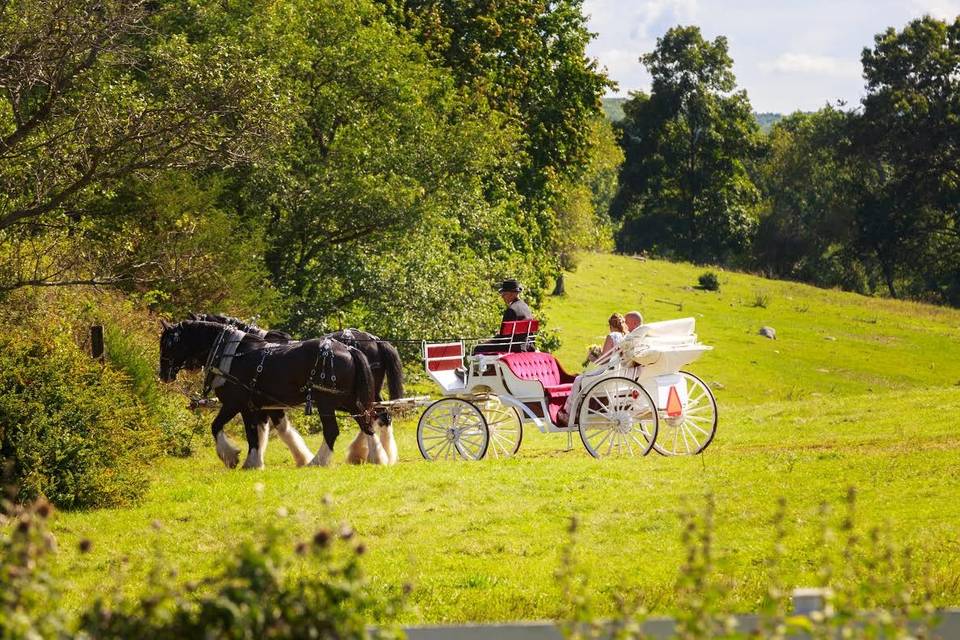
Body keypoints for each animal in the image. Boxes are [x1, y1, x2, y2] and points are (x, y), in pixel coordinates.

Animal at [158, 320, 386, 470]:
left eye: (168, 344)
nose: (163, 375)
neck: (232, 354)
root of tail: (349, 349)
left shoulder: (236, 404)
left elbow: (224, 428)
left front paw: (237, 459)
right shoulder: (260, 407)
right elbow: (262, 434)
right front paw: (255, 460)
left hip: (326, 402)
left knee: (333, 431)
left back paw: (317, 462)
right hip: (349, 401)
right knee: (368, 422)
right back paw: (377, 457)